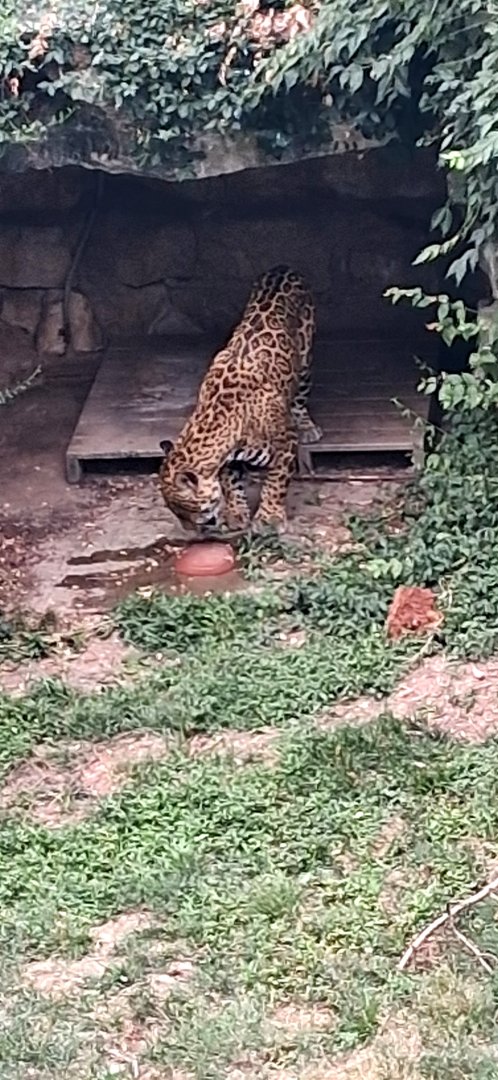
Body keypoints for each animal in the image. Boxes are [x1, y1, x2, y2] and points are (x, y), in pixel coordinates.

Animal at [158, 264, 322, 535]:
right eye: (175, 512)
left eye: (185, 510)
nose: (189, 531)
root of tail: (283, 268)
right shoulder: (225, 457)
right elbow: (229, 483)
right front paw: (235, 514)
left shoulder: (285, 440)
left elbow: (276, 481)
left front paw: (269, 518)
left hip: (306, 359)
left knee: (300, 396)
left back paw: (308, 427)